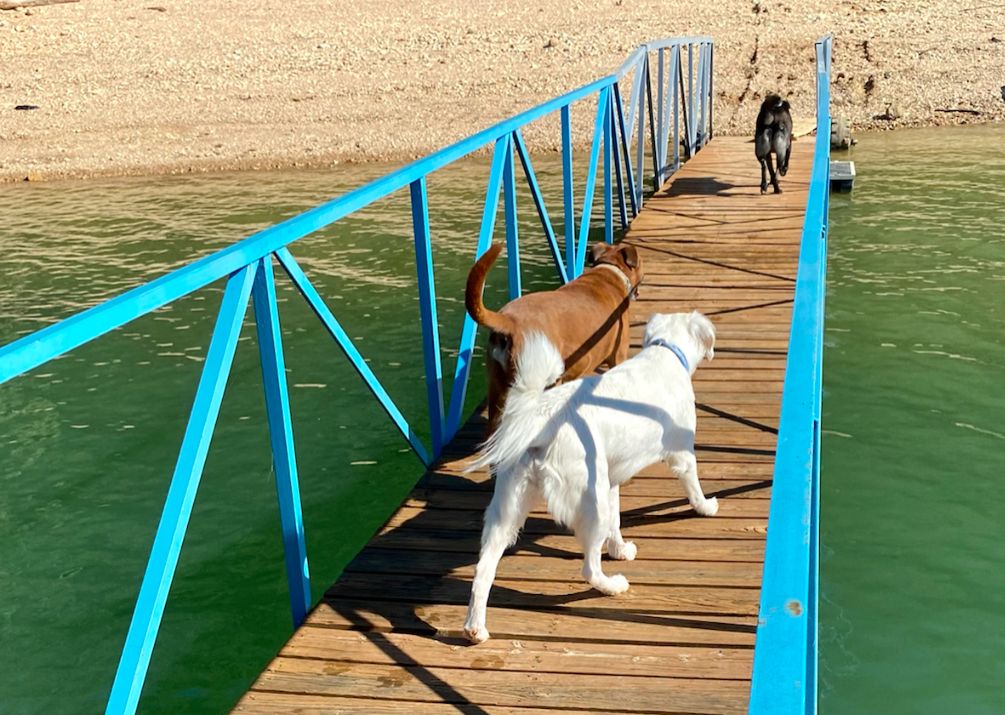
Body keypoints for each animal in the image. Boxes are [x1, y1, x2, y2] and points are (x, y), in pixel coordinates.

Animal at [466, 311, 719, 643]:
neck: (664, 352)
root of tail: (541, 421)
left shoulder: (611, 480)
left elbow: (617, 523)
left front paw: (620, 550)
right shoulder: (682, 453)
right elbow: (694, 487)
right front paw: (706, 507)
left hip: (507, 511)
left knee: (483, 571)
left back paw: (475, 629)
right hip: (589, 501)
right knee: (589, 570)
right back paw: (614, 586)